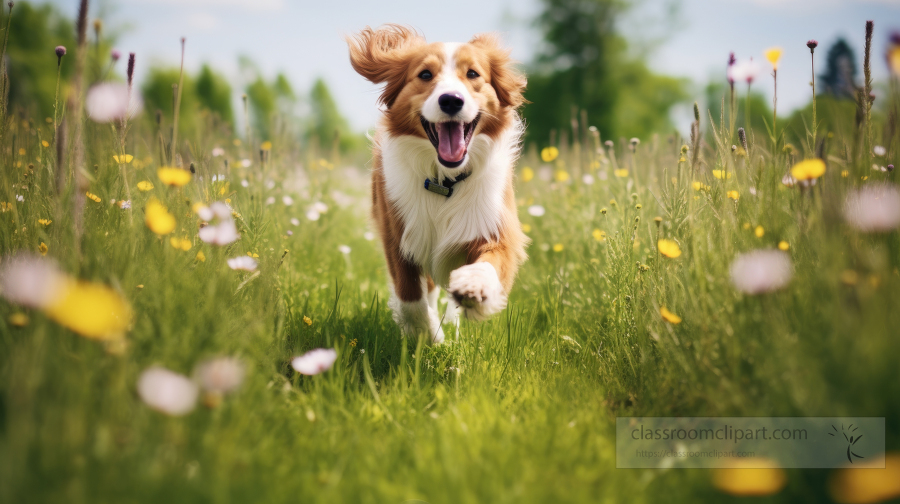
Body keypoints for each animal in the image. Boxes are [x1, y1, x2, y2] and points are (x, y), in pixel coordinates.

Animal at [344, 25, 528, 344]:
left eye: (473, 74)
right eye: (425, 74)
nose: (451, 100)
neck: (445, 182)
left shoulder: (496, 227)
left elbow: (491, 261)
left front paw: (474, 286)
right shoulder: (398, 236)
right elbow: (411, 299)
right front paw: (429, 334)